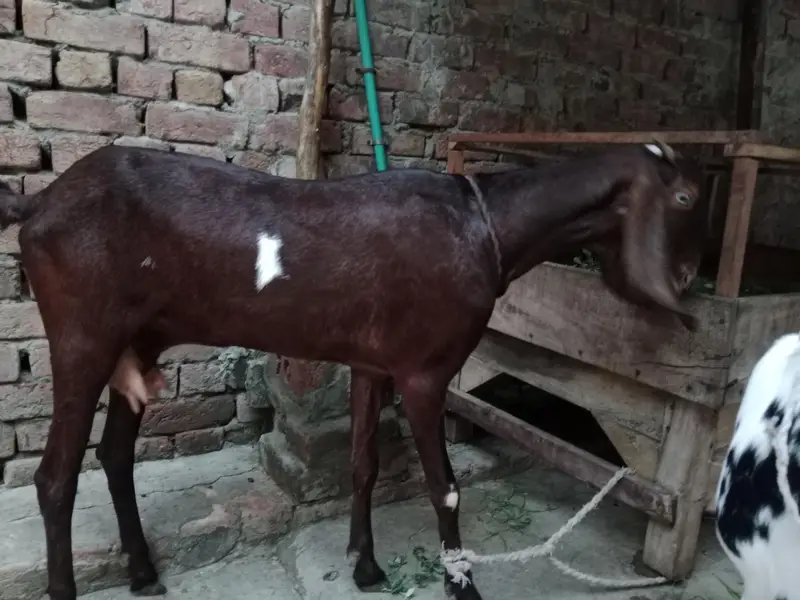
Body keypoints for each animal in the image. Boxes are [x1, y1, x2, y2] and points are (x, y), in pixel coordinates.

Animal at [0, 140, 708, 600]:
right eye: (683, 196)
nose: (687, 280)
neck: (483, 226)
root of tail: (39, 204)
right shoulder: (425, 372)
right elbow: (445, 487)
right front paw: (463, 586)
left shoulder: (373, 363)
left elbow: (364, 464)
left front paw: (365, 568)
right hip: (83, 336)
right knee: (55, 478)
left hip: (140, 340)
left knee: (115, 454)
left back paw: (145, 575)